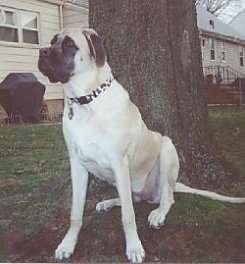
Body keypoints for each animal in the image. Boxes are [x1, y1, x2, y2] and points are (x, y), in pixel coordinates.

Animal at [37, 27, 245, 262]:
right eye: (53, 41)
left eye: (70, 45)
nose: (42, 51)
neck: (85, 101)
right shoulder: (77, 165)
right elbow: (76, 213)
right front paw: (68, 243)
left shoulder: (119, 163)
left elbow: (128, 216)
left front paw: (134, 247)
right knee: (133, 199)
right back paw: (107, 203)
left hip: (166, 149)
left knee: (166, 199)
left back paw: (158, 214)